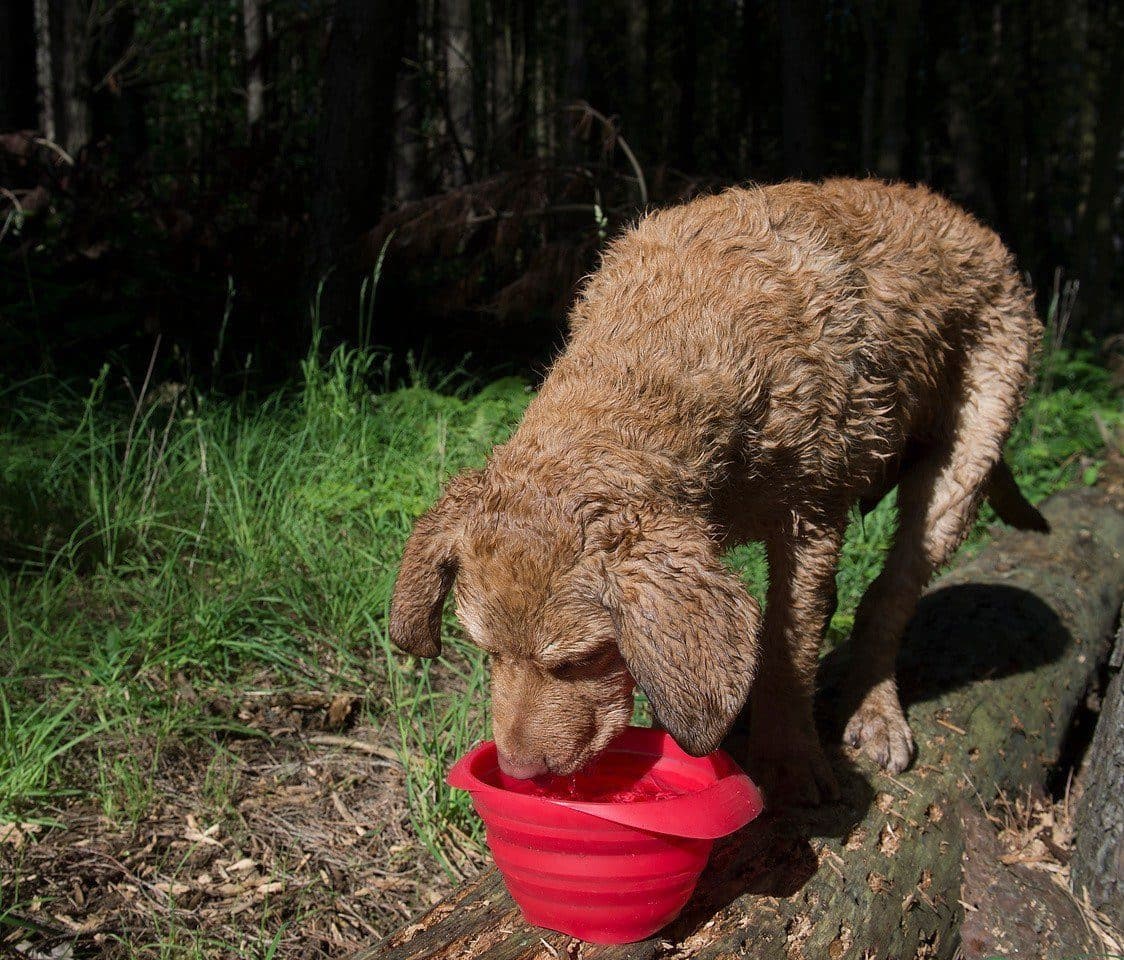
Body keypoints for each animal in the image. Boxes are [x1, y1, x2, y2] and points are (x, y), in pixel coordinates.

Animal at [386, 178, 1043, 804]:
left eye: (580, 659)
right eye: (486, 651)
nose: (521, 773)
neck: (662, 347)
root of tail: (973, 225)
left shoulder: (811, 522)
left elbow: (787, 647)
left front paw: (789, 758)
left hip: (965, 456)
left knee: (890, 593)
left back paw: (877, 712)